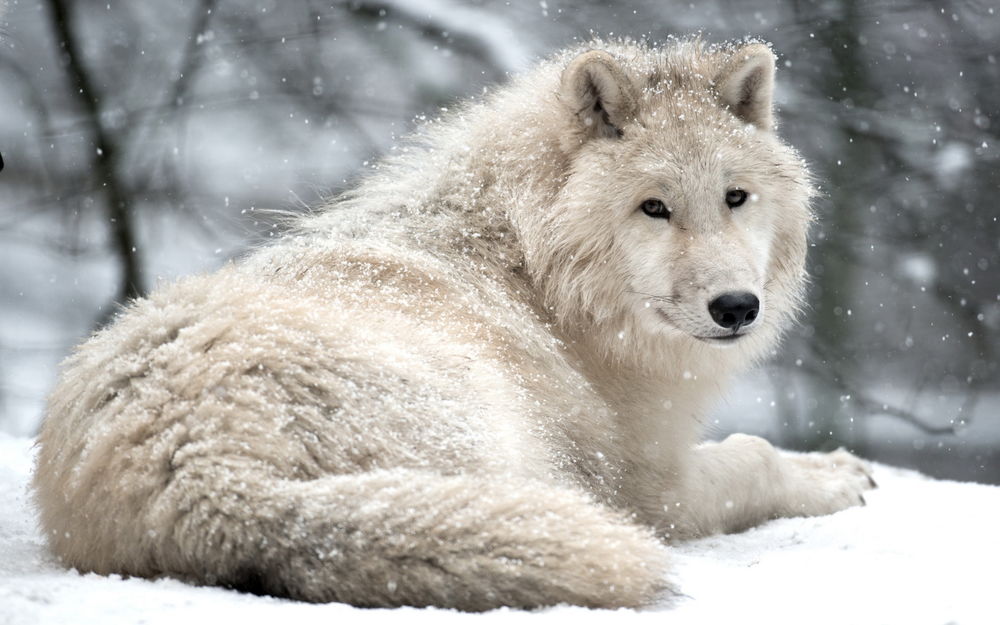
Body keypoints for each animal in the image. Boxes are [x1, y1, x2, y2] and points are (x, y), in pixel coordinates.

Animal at [33, 37, 876, 608]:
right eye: (654, 207)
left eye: (736, 197)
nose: (737, 307)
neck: (533, 269)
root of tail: (212, 479)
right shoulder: (648, 485)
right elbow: (755, 458)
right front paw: (837, 474)